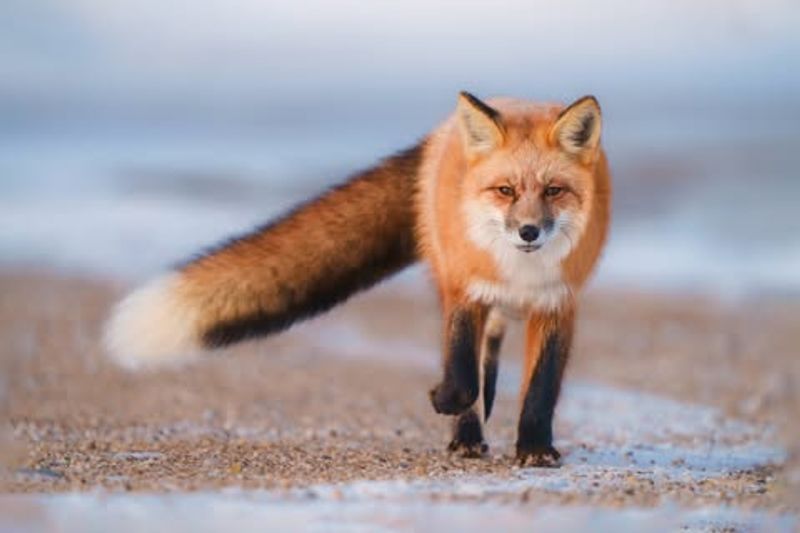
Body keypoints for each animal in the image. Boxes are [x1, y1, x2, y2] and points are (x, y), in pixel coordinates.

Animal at [105, 92, 611, 466]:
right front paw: (446, 400)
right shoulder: (464, 292)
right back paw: (466, 434)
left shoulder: (558, 305)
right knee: (476, 363)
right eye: (505, 190)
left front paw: (535, 448)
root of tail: (442, 132)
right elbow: (463, 376)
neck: (521, 272)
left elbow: (541, 387)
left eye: (554, 191)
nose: (528, 231)